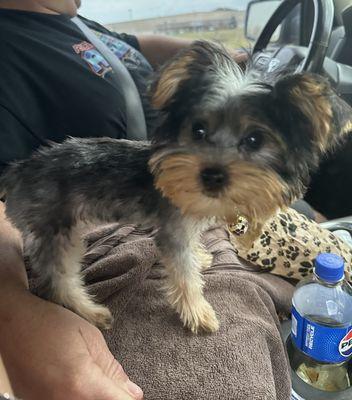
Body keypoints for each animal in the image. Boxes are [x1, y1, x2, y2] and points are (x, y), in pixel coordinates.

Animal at [1, 42, 350, 332]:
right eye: (198, 130)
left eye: (255, 140)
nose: (211, 175)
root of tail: (17, 171)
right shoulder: (173, 230)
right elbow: (184, 276)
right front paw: (197, 312)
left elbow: (191, 255)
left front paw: (200, 258)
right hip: (54, 228)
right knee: (58, 279)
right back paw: (90, 312)